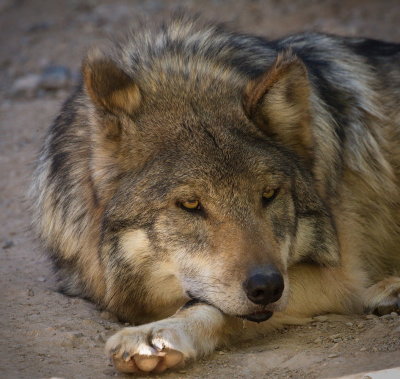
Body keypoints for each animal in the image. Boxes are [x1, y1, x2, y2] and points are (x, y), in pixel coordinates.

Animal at [31, 14, 400, 374]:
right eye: (190, 204)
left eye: (269, 194)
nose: (267, 287)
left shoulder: (339, 275)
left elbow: (208, 305)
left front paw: (157, 335)